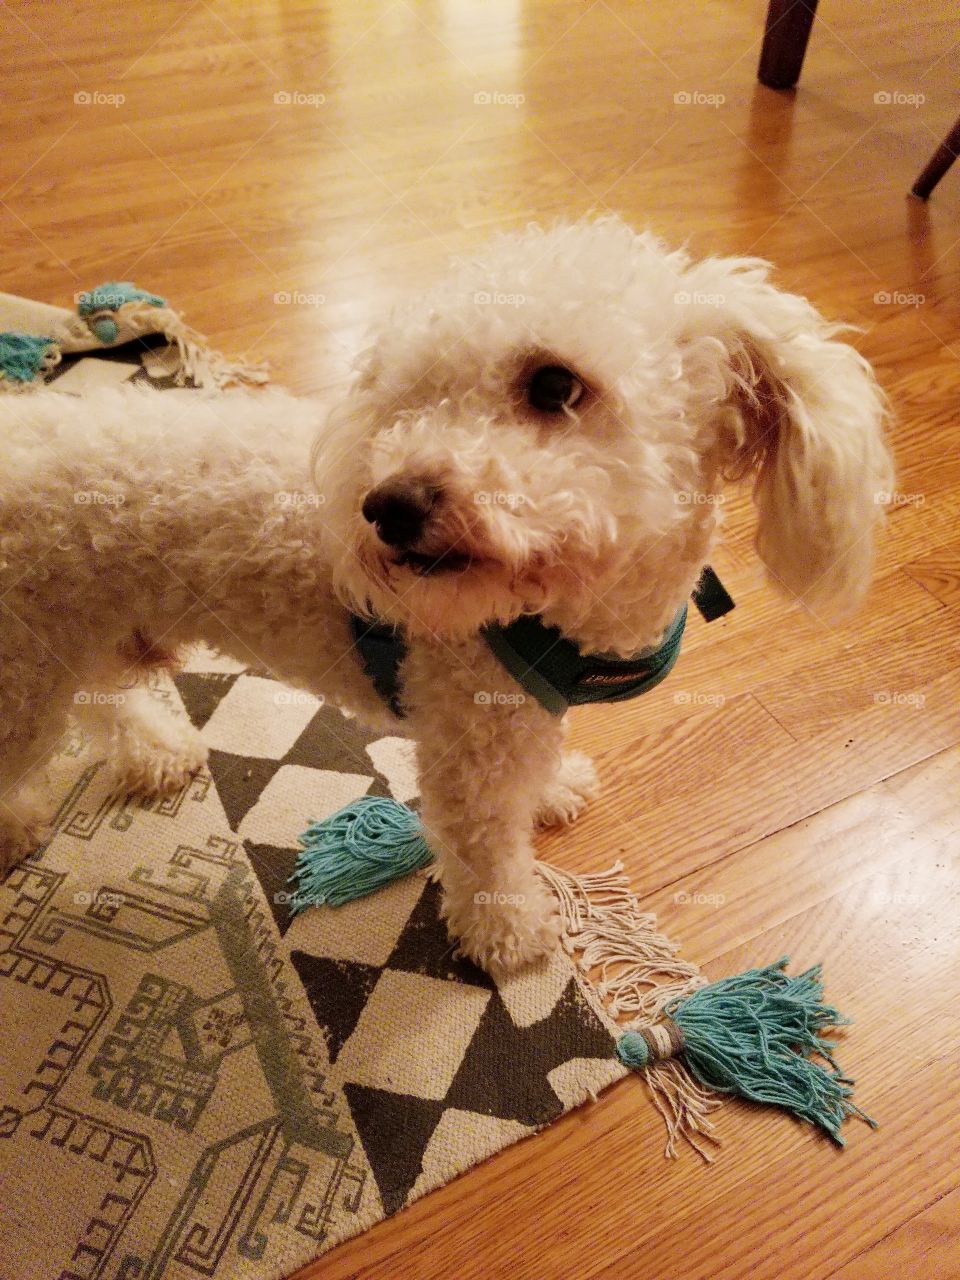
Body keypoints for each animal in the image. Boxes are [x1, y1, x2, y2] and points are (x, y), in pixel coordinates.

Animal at [0, 217, 896, 967]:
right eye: (408, 400)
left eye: (555, 385)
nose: (385, 507)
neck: (557, 617)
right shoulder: (472, 747)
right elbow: (485, 854)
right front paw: (511, 936)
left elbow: (536, 779)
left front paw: (555, 789)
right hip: (27, 662)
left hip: (76, 633)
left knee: (105, 701)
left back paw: (155, 750)